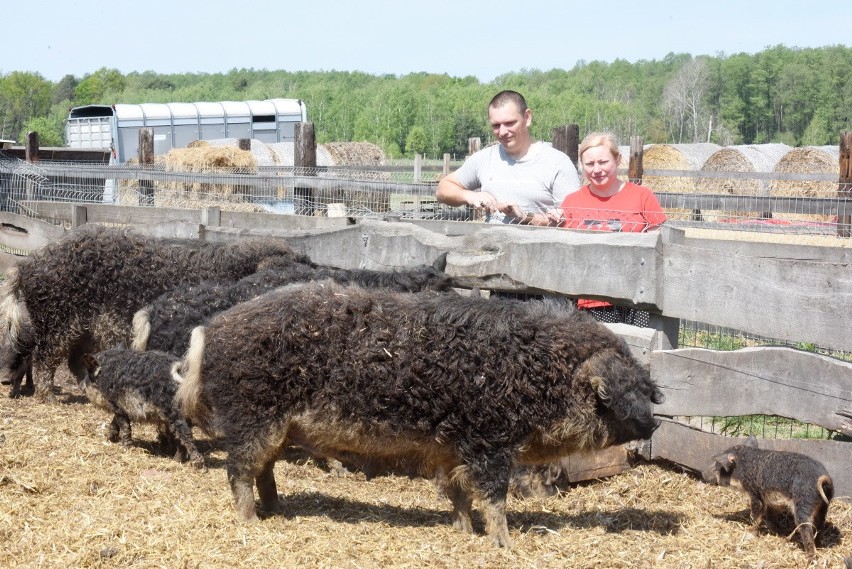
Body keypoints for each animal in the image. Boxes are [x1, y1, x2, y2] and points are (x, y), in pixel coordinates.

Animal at [175, 280, 664, 544]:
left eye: (646, 387)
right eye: (624, 392)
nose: (656, 422)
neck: (538, 374)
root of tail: (209, 330)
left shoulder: (453, 449)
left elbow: (458, 492)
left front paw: (464, 532)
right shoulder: (488, 442)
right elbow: (493, 496)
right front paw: (504, 544)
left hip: (272, 426)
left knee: (264, 470)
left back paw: (278, 510)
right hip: (252, 417)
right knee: (239, 471)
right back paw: (252, 521)